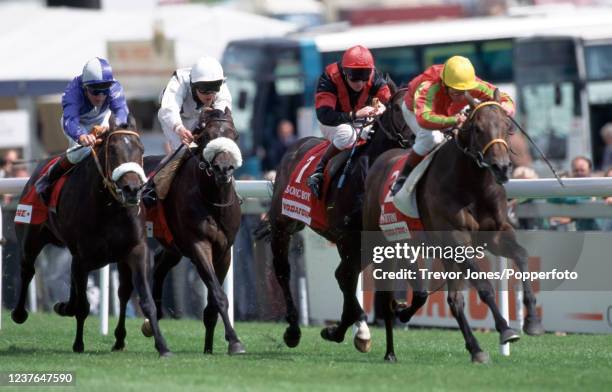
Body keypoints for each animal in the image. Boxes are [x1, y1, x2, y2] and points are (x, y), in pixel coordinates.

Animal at [10, 115, 172, 356]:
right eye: (113, 150)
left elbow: (145, 300)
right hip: (30, 236)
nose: (132, 189)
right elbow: (83, 306)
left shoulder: (136, 251)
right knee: (27, 269)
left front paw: (162, 346)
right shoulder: (83, 256)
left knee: (117, 291)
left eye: (141, 149)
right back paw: (19, 313)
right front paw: (78, 344)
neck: (110, 207)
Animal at [134, 108, 246, 356]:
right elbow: (218, 295)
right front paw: (235, 341)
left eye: (234, 135)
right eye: (207, 137)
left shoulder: (224, 251)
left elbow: (213, 304)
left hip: (173, 246)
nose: (223, 168)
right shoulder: (198, 246)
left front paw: (210, 347)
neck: (213, 201)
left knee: (160, 263)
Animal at [360, 90, 544, 362]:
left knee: (453, 299)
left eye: (507, 126)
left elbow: (521, 255)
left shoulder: (496, 234)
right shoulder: (455, 240)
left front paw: (532, 321)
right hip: (381, 244)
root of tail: (381, 160)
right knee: (379, 293)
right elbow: (484, 284)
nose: (501, 167)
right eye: (478, 128)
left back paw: (475, 348)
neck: (472, 185)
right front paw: (506, 329)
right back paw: (387, 348)